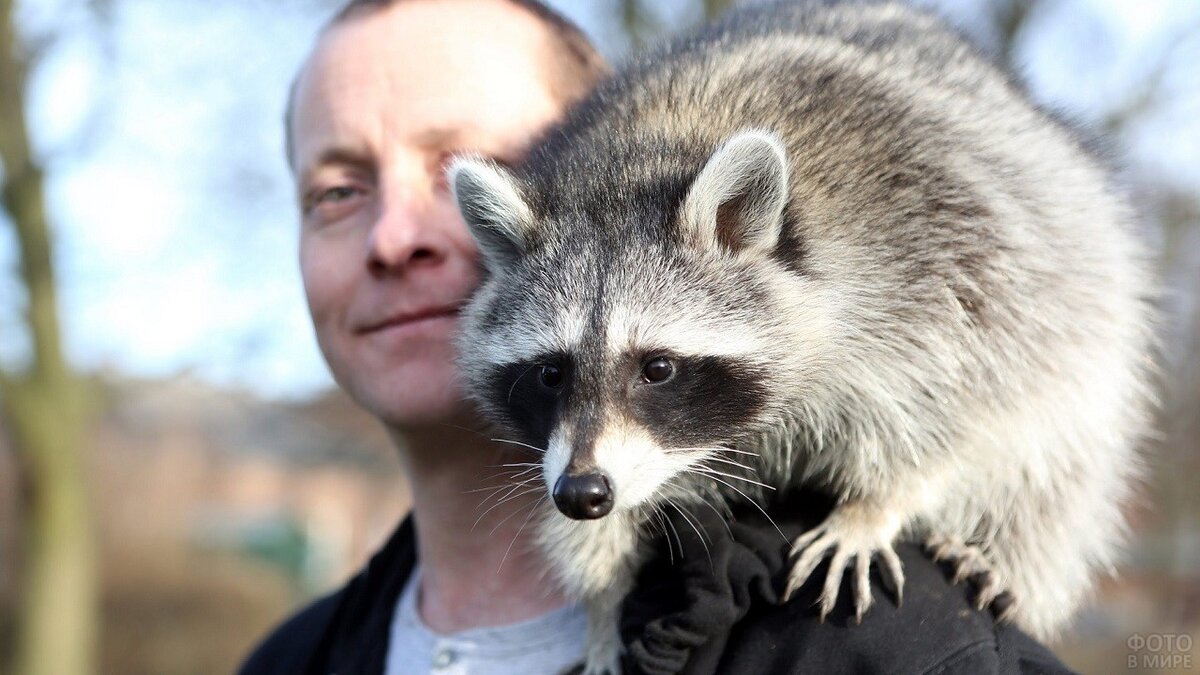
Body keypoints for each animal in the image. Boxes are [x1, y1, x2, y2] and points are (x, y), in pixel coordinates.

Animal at [448, 2, 1152, 667]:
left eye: (657, 369)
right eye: (550, 372)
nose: (583, 494)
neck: (641, 153)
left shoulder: (940, 253)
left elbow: (961, 400)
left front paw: (876, 503)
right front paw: (602, 596)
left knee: (1055, 462)